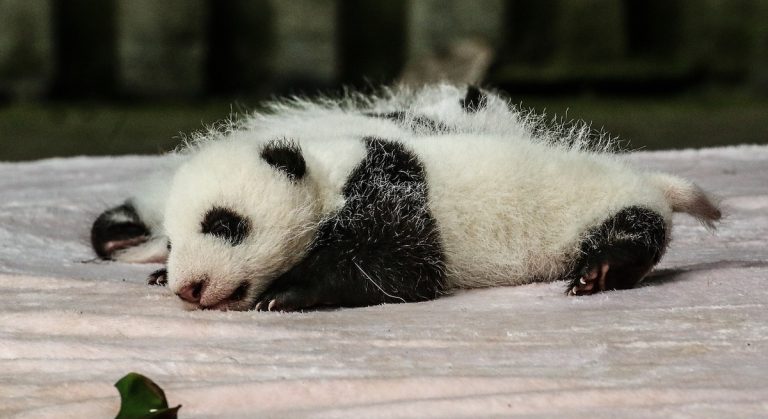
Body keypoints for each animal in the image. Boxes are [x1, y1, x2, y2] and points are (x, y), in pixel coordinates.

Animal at [91, 85, 721, 311]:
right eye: (173, 240)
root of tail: (652, 182)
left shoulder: (391, 193)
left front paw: (286, 294)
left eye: (225, 224)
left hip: (605, 205)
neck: (328, 168)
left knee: (632, 231)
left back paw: (600, 271)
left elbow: (397, 269)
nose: (189, 288)